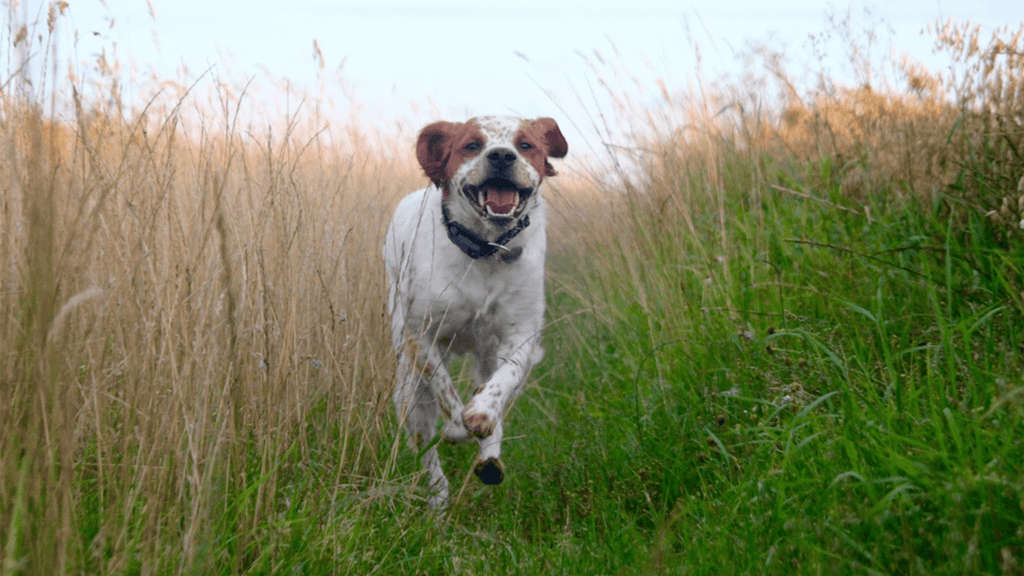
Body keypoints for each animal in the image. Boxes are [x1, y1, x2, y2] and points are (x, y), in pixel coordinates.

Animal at [385, 114, 569, 504]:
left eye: (526, 145)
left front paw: (482, 415)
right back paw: (439, 499)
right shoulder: (420, 334)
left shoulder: (521, 334)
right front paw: (457, 427)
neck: (486, 251)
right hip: (409, 391)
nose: (501, 156)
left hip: (485, 357)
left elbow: (502, 383)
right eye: (471, 145)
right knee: (428, 454)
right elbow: (444, 387)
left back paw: (489, 459)